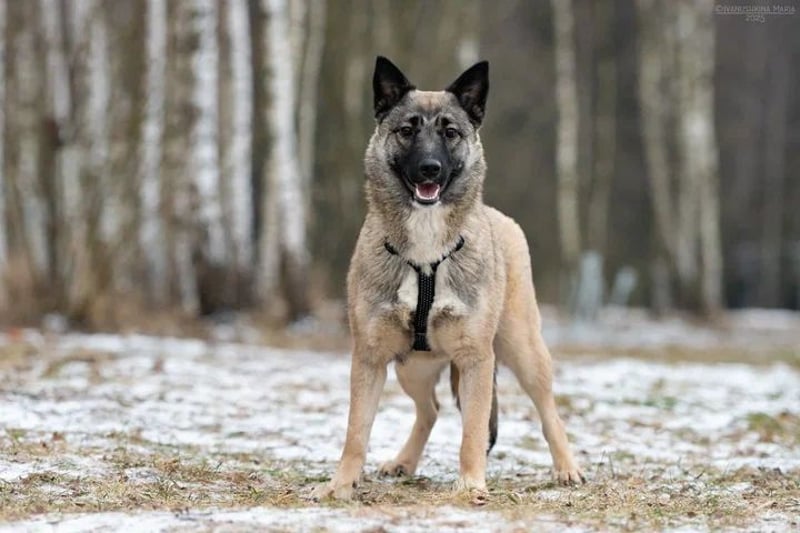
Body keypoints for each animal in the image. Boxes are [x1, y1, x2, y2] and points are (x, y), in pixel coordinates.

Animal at [314, 56, 584, 500]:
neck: (425, 254)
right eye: (407, 130)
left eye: (451, 132)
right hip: (411, 367)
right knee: (431, 410)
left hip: (523, 351)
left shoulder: (476, 359)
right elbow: (356, 432)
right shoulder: (370, 357)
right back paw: (404, 461)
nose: (430, 168)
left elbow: (472, 432)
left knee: (548, 411)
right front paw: (341, 486)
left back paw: (567, 468)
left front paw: (470, 485)